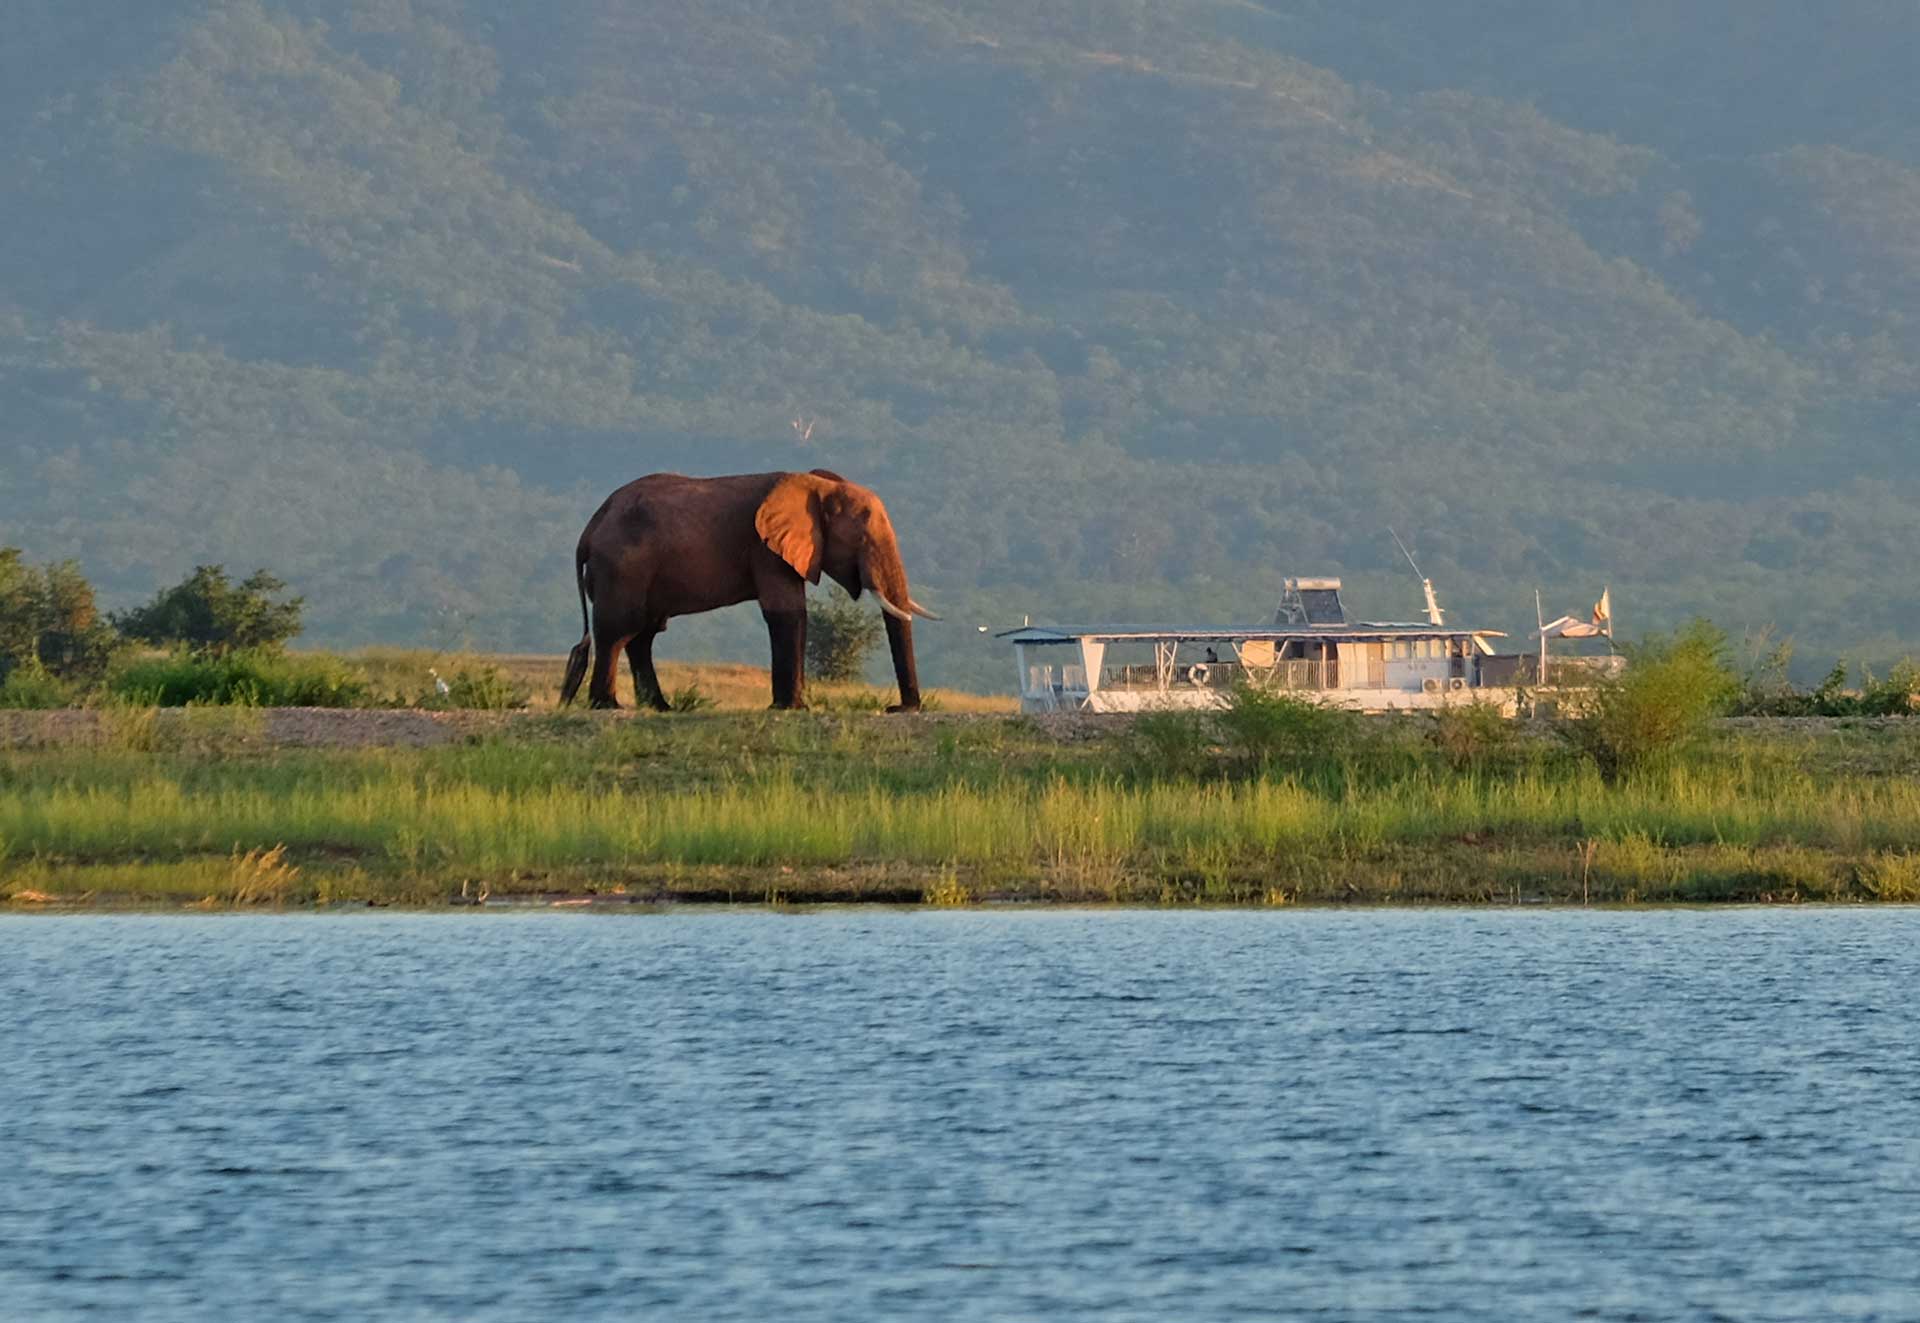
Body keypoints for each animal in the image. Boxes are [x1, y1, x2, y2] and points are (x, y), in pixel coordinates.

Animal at [558, 469, 938, 711]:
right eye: (862, 538)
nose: (898, 709)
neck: (818, 485)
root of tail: (589, 528)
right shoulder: (765, 549)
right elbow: (787, 612)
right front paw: (791, 709)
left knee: (642, 635)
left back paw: (661, 708)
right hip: (621, 567)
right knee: (619, 630)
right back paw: (607, 706)